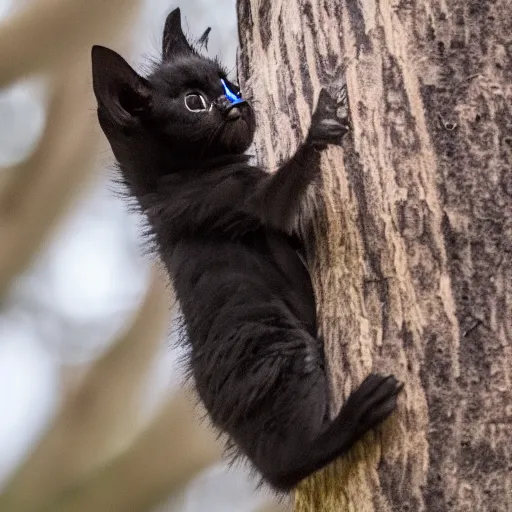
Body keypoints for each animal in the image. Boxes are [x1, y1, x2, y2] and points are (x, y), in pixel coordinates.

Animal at [92, 7, 404, 488]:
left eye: (229, 83)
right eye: (194, 102)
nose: (237, 104)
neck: (168, 184)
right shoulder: (228, 200)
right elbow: (280, 197)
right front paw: (321, 124)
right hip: (276, 348)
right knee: (292, 458)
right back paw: (356, 413)